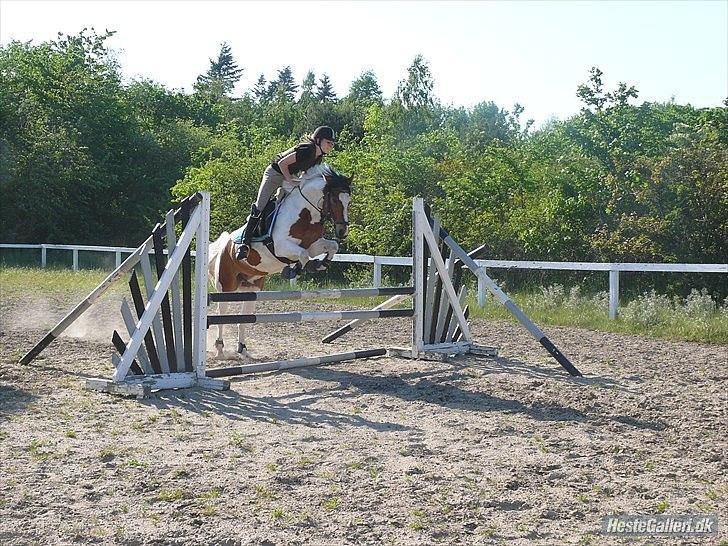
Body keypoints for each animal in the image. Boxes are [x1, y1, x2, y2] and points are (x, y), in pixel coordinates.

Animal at [207, 163, 353, 359]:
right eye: (336, 200)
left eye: (348, 201)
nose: (342, 231)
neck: (306, 213)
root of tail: (224, 244)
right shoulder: (281, 246)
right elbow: (303, 255)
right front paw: (292, 270)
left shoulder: (314, 245)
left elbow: (332, 247)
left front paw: (319, 264)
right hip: (226, 287)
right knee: (221, 314)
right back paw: (220, 349)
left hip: (251, 288)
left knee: (243, 317)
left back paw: (243, 349)